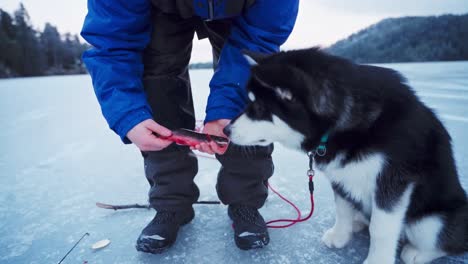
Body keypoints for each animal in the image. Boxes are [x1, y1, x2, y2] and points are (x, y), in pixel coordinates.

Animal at [225, 48, 466, 264]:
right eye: (249, 102)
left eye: (258, 108)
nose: (226, 130)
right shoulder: (340, 174)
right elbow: (342, 209)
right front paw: (340, 235)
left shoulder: (392, 180)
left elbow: (380, 227)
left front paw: (377, 260)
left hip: (430, 222)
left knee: (450, 241)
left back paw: (417, 253)